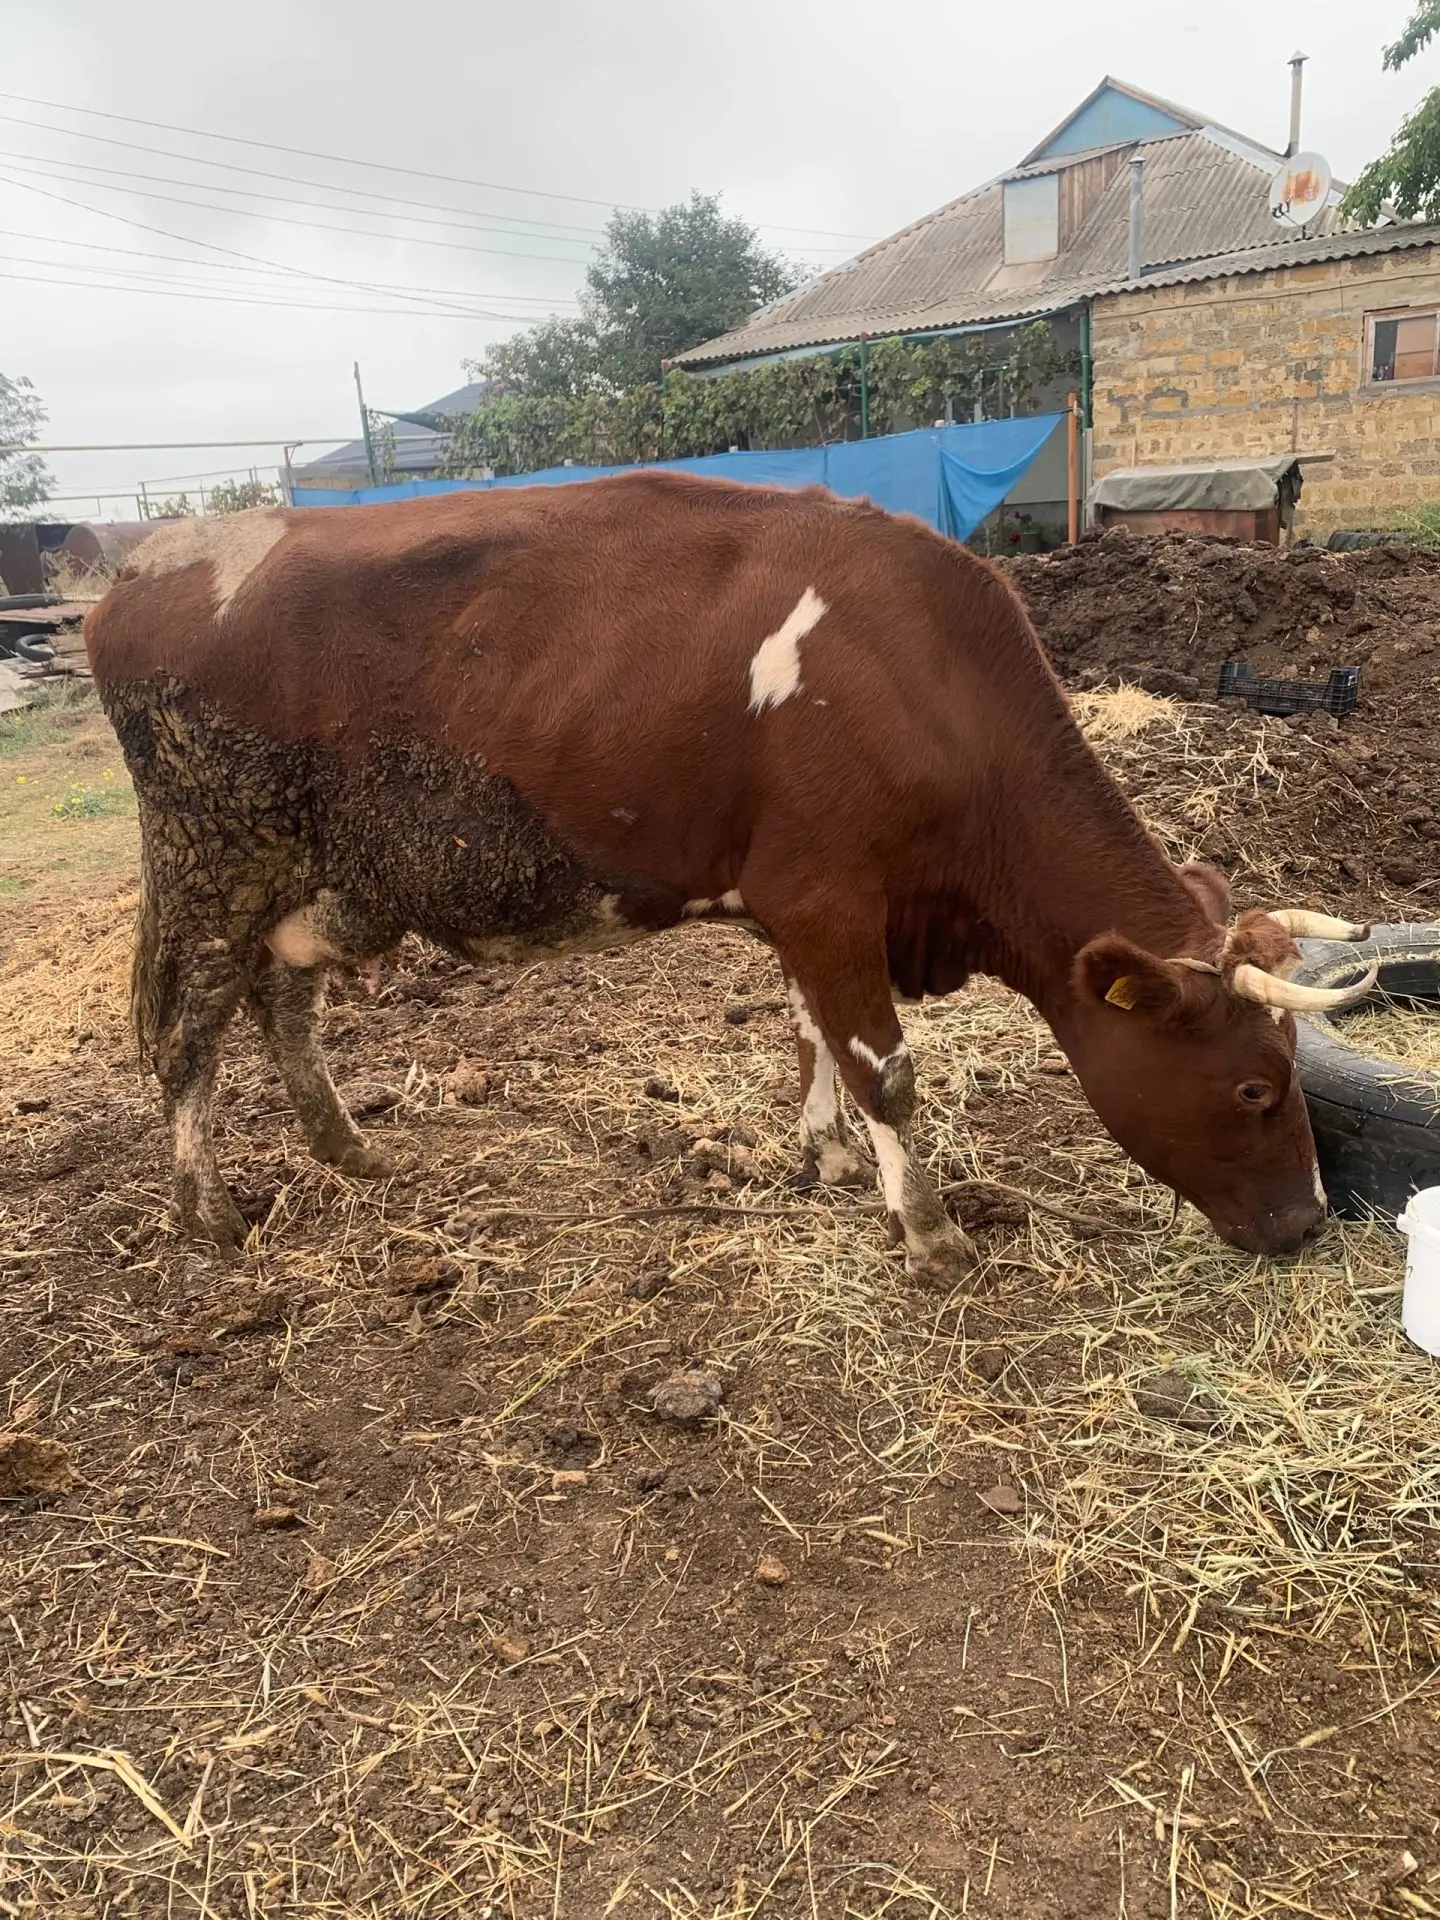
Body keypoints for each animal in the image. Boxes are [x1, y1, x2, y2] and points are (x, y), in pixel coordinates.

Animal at [85, 474, 1375, 1275]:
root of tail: (146, 564)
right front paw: (930, 1236)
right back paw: (204, 1214)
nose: (1310, 1221)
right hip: (209, 859)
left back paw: (348, 1147)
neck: (929, 685)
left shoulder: (804, 906)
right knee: (188, 1033)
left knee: (283, 1003)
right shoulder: (829, 898)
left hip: (304, 878)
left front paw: (821, 1158)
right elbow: (885, 1069)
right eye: (1255, 1088)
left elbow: (813, 1039)